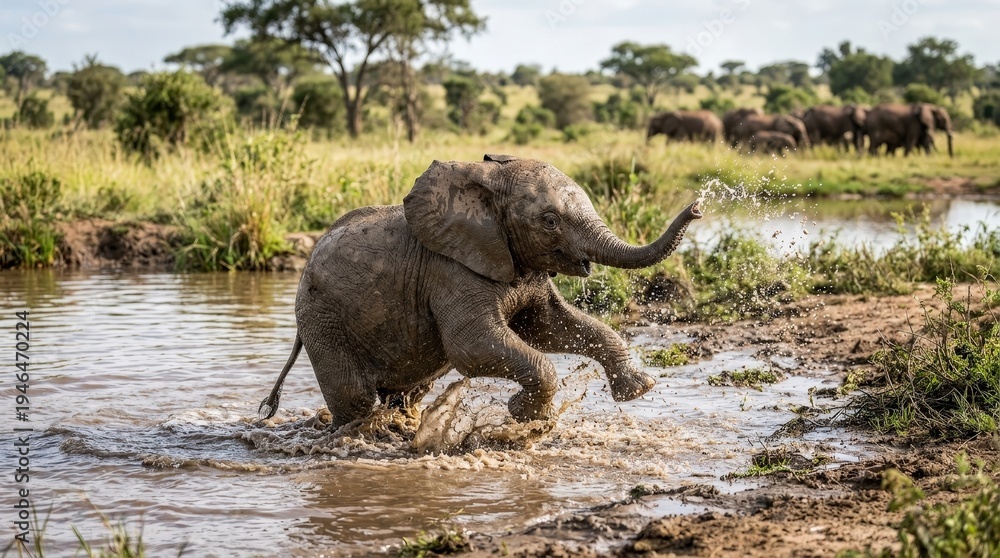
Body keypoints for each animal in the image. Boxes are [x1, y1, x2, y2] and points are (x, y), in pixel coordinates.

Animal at [258, 154, 703, 429]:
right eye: (550, 221)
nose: (697, 206)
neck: (487, 184)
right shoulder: (450, 270)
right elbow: (472, 347)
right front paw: (527, 416)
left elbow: (550, 325)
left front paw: (639, 389)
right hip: (321, 317)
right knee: (354, 396)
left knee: (407, 393)